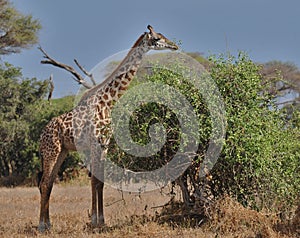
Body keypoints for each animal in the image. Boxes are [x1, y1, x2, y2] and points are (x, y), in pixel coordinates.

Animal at [37, 25, 178, 231]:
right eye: (158, 37)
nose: (174, 45)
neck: (108, 102)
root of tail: (41, 136)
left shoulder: (105, 144)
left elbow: (100, 182)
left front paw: (101, 220)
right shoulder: (96, 142)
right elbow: (95, 180)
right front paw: (95, 221)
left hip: (62, 151)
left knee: (49, 182)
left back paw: (49, 224)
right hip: (51, 151)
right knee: (45, 182)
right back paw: (42, 225)